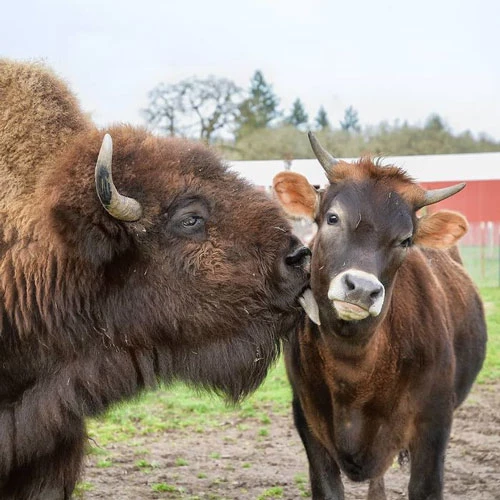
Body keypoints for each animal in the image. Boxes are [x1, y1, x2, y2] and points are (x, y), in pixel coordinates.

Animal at [274, 133, 488, 500]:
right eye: (333, 218)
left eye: (406, 239)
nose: (361, 288)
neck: (354, 371)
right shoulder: (307, 421)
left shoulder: (434, 425)